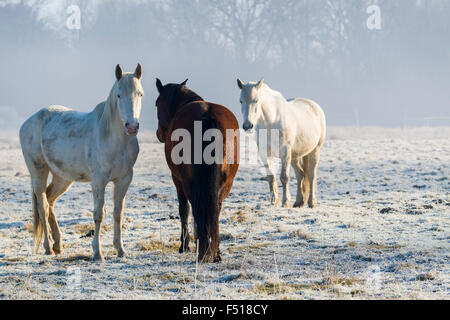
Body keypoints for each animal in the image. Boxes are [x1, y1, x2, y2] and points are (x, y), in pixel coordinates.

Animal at [20, 64, 143, 260]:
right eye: (118, 95)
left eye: (140, 94)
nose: (132, 127)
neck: (112, 137)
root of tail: (28, 122)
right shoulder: (98, 181)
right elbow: (99, 214)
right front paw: (98, 253)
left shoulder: (124, 179)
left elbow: (118, 213)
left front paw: (121, 250)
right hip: (38, 172)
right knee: (42, 206)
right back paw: (48, 247)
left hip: (63, 178)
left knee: (50, 200)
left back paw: (58, 244)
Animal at [155, 78, 239, 262]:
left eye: (157, 103)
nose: (158, 133)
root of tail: (208, 117)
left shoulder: (177, 180)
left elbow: (184, 210)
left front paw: (184, 245)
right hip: (225, 183)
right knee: (215, 209)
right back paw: (215, 251)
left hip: (187, 182)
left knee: (196, 208)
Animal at [237, 77, 326, 208]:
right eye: (241, 101)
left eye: (256, 100)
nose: (247, 125)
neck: (271, 121)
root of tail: (315, 106)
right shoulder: (264, 153)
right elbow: (271, 176)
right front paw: (274, 201)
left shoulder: (285, 152)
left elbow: (284, 177)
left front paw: (285, 202)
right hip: (295, 156)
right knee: (301, 174)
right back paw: (299, 202)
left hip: (314, 151)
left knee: (311, 175)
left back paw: (311, 202)